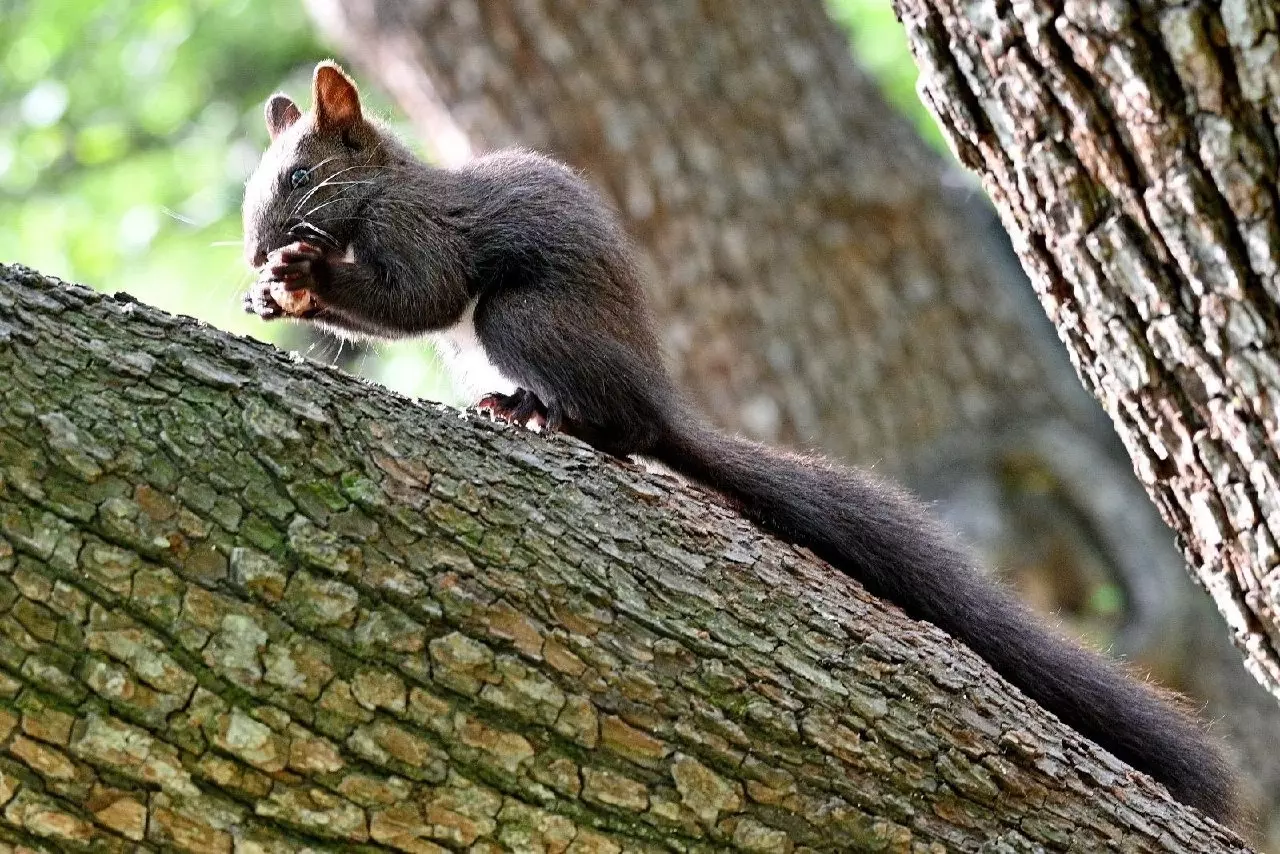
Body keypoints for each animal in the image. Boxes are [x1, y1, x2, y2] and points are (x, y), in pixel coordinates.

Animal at [241, 58, 1239, 819]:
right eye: (258, 185)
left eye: (298, 180)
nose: (255, 253)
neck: (382, 189)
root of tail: (654, 393)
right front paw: (278, 292)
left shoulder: (425, 236)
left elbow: (420, 298)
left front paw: (307, 274)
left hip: (524, 322)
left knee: (615, 426)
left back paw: (543, 413)